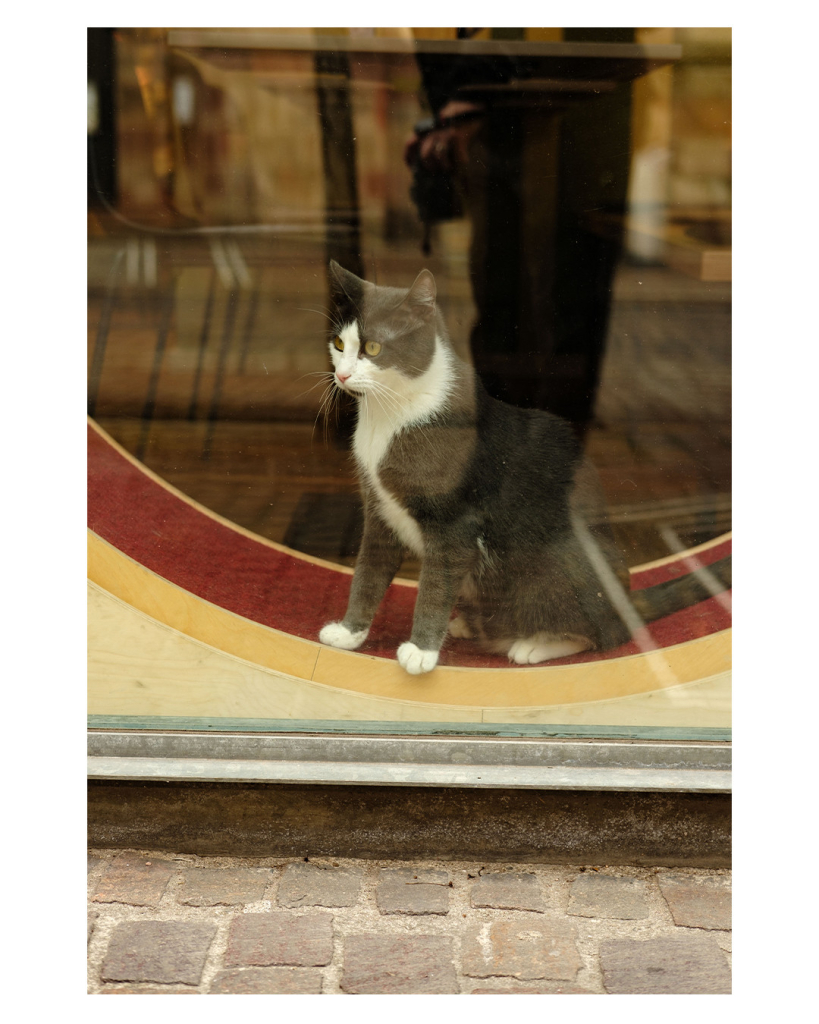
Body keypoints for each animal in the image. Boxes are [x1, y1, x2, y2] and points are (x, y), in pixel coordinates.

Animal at [319, 262, 634, 671]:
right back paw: (469, 625)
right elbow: (367, 572)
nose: (341, 375)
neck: (388, 416)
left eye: (373, 347)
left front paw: (421, 651)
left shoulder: (454, 525)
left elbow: (435, 586)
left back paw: (535, 645)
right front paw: (349, 632)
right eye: (339, 345)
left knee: (601, 634)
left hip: (560, 563)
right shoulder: (379, 509)